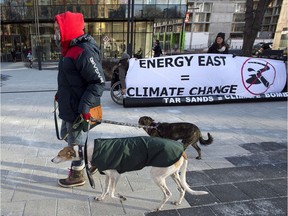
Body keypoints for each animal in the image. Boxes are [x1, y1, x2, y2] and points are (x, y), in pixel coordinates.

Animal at [51, 137, 208, 211]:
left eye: (59, 154)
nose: (52, 160)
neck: (88, 150)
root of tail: (182, 149)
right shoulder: (108, 175)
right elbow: (105, 190)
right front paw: (101, 197)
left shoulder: (115, 175)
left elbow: (112, 193)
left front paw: (121, 197)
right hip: (172, 174)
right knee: (181, 189)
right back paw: (178, 202)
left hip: (157, 176)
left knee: (168, 193)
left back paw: (159, 208)